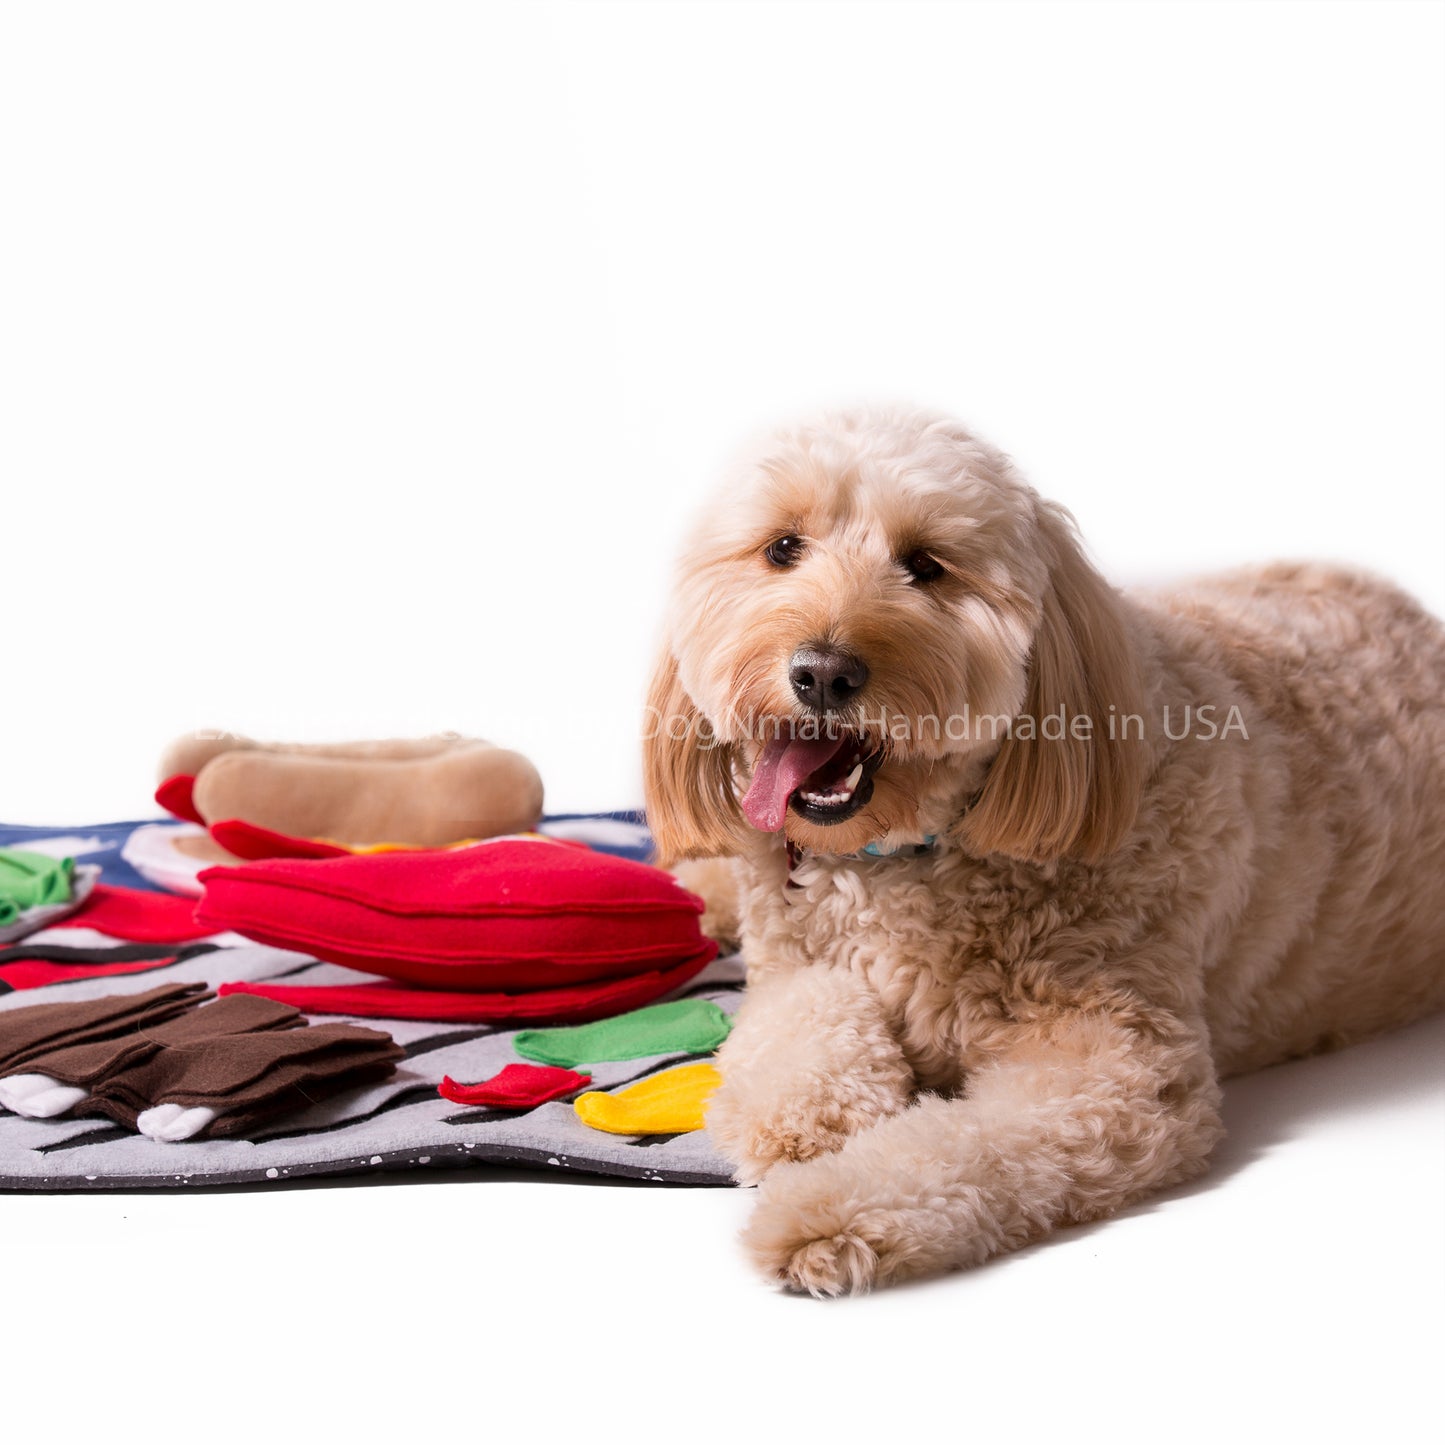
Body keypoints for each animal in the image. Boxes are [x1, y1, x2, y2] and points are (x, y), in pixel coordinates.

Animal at [644, 407, 1445, 1300]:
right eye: (783, 547)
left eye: (925, 565)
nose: (822, 671)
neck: (903, 855)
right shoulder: (793, 962)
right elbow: (799, 1022)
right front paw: (800, 1123)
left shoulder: (1113, 1070)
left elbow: (958, 1148)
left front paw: (823, 1209)